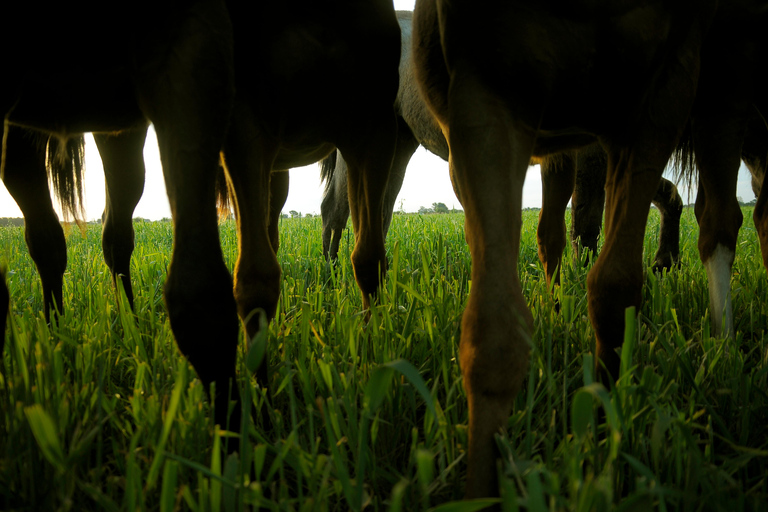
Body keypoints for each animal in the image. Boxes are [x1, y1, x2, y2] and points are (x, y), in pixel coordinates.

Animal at [408, 0, 756, 500]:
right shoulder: (486, 91)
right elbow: (493, 327)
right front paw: (483, 489)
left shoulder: (659, 95)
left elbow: (614, 287)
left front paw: (605, 437)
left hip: (728, 78)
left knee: (719, 221)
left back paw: (723, 348)